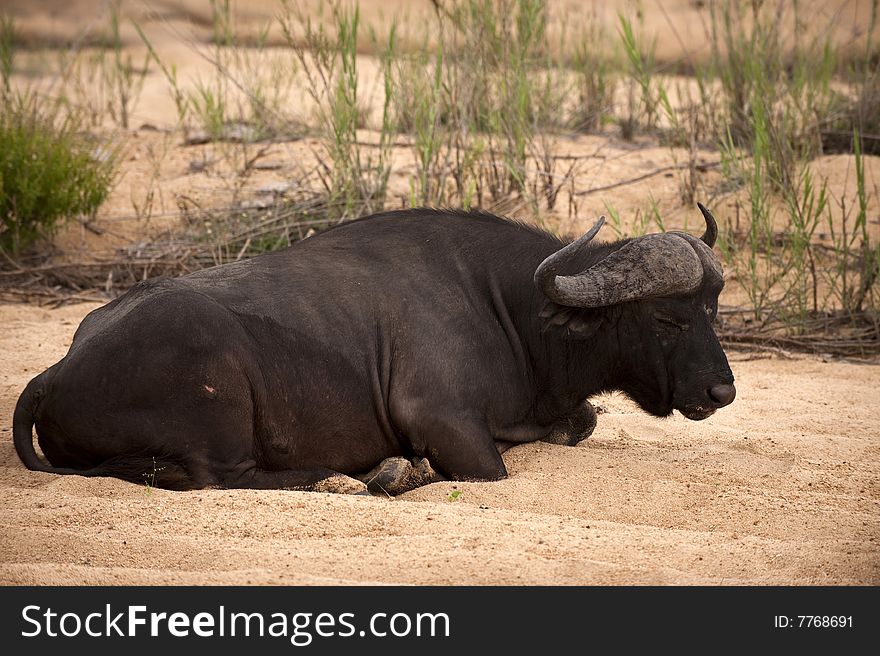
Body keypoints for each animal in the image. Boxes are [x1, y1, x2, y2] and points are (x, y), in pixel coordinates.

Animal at [13, 205, 736, 492]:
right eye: (667, 318)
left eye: (712, 309)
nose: (722, 390)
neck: (509, 310)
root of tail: (54, 373)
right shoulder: (442, 421)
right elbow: (491, 471)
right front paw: (402, 471)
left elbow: (580, 422)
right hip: (223, 408)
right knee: (229, 478)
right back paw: (370, 475)